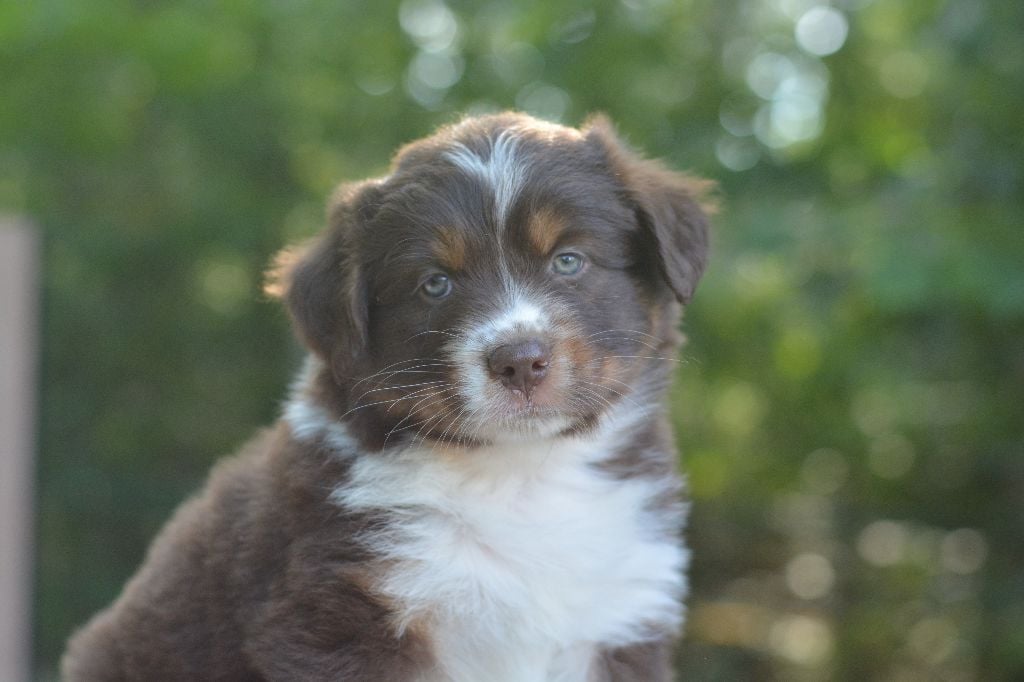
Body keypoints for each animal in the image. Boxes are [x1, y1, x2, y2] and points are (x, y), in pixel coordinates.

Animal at [61, 112, 712, 679]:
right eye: (435, 283)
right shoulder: (341, 618)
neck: (520, 477)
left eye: (569, 261)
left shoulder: (621, 617)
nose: (520, 361)